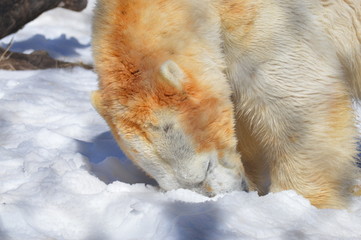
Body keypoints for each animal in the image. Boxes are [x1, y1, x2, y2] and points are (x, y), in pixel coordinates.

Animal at [92, 0, 360, 208]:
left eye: (205, 168)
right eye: (174, 186)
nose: (232, 195)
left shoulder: (275, 24)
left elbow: (296, 102)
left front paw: (298, 201)